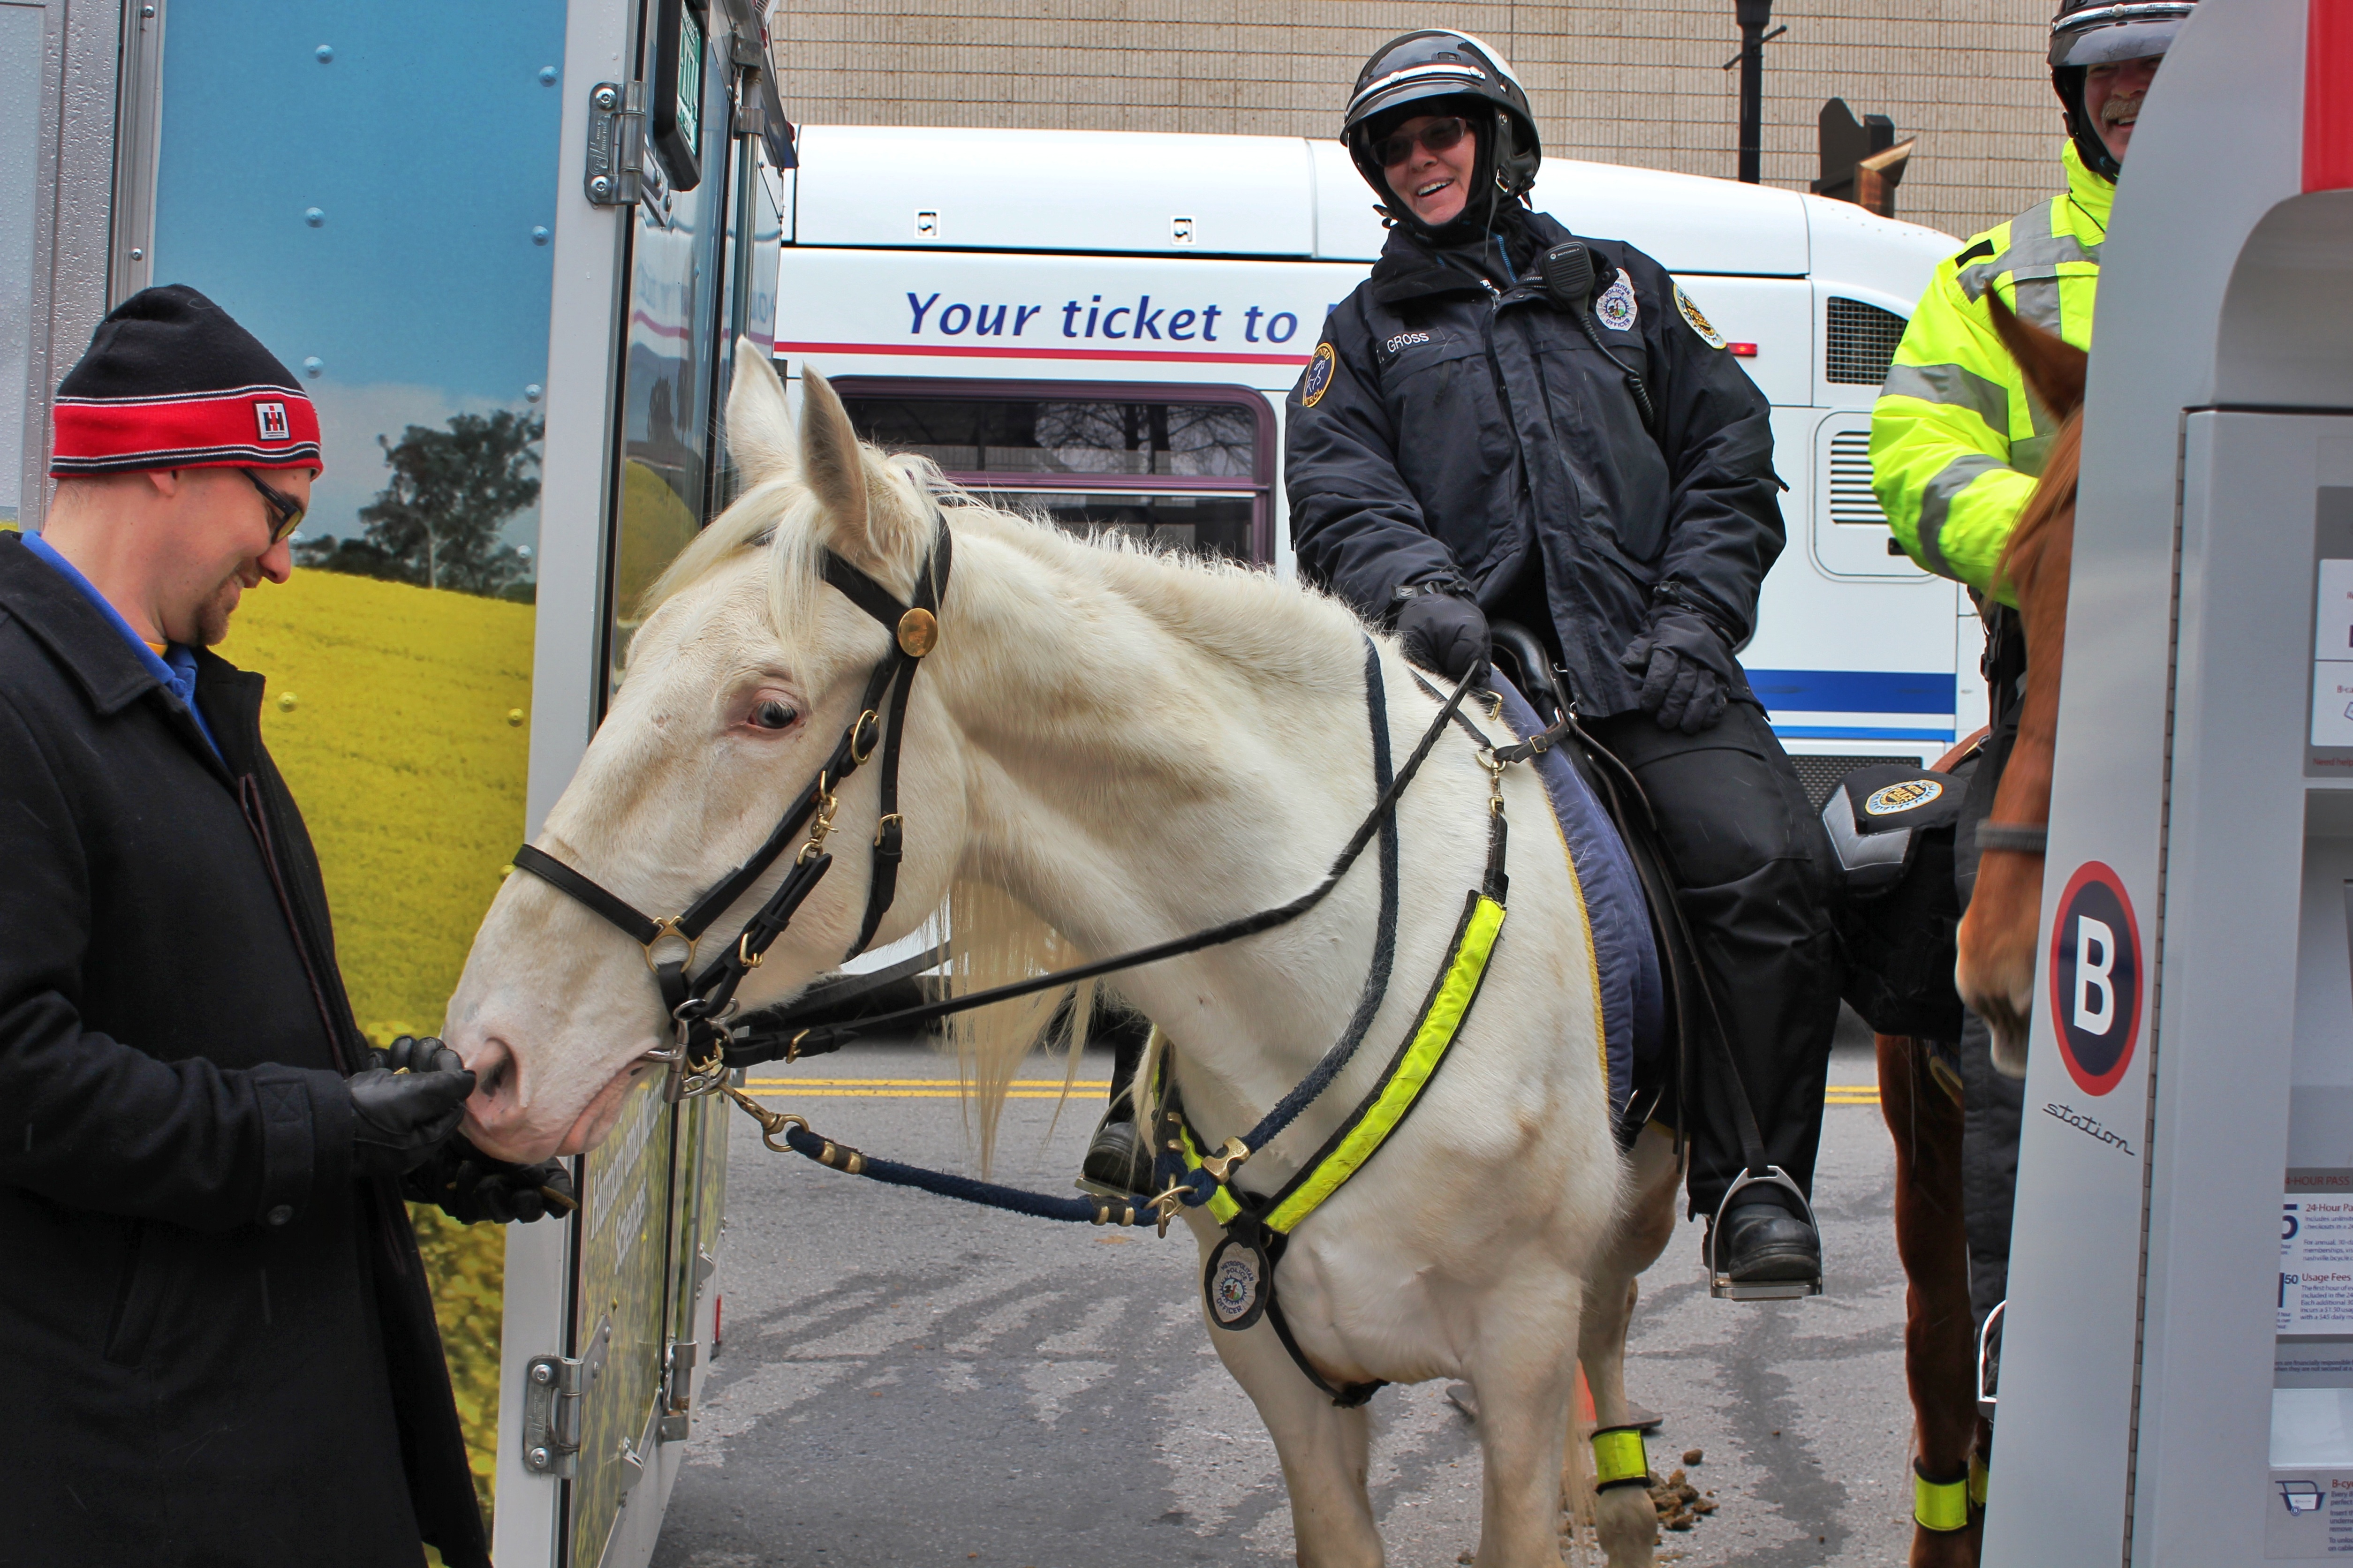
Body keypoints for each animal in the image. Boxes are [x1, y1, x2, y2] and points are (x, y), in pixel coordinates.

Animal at [445, 355, 1675, 1568]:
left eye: (771, 709)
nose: (487, 1057)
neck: (1337, 973)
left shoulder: (1517, 1343)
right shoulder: (1283, 1371)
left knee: (1608, 1338)